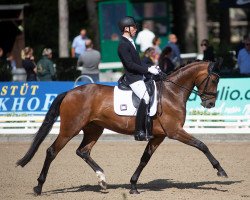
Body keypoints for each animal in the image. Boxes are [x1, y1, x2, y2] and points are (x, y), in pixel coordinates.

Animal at [16, 60, 229, 195]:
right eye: (214, 79)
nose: (210, 104)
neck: (171, 92)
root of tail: (70, 92)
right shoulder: (175, 131)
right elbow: (202, 145)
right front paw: (221, 171)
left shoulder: (158, 136)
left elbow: (144, 159)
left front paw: (133, 185)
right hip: (70, 128)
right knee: (52, 151)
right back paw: (38, 187)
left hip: (94, 129)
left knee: (83, 151)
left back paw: (102, 180)